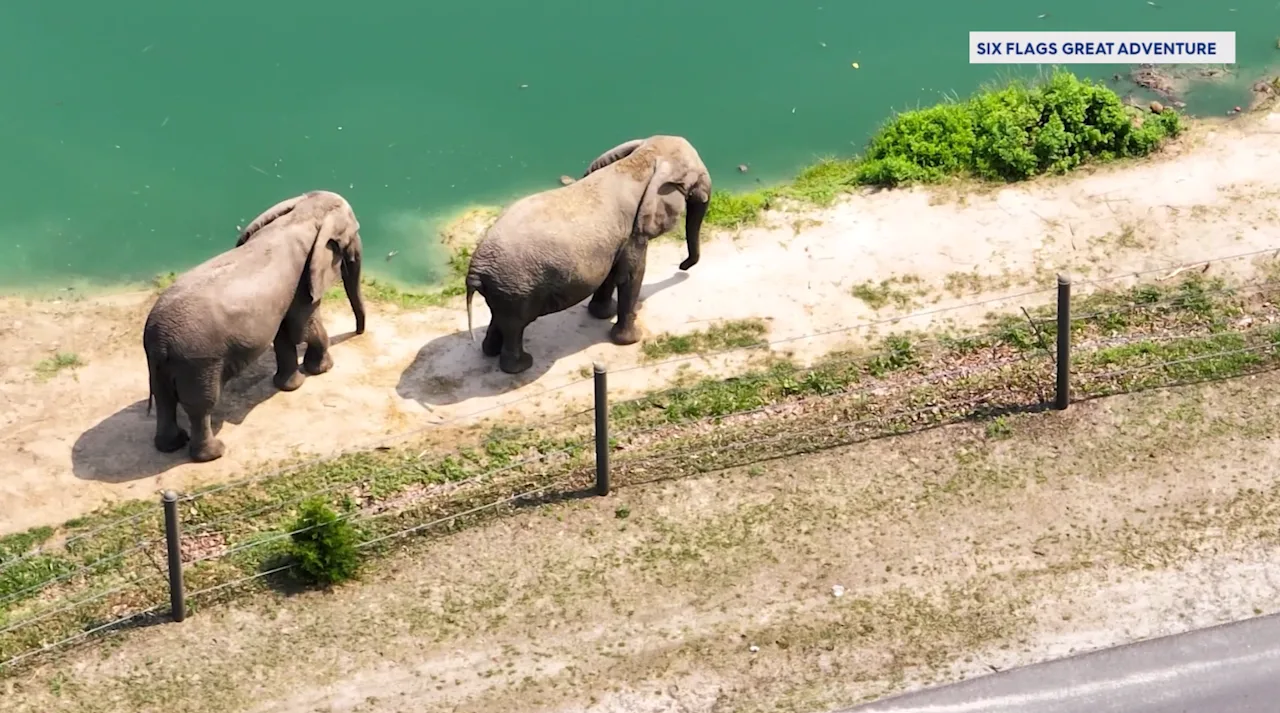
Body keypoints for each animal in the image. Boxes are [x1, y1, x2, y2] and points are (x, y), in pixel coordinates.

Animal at [142, 190, 366, 462]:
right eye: (355, 233)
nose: (358, 332)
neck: (303, 213)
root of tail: (159, 340)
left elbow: (284, 332)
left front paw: (291, 386)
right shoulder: (304, 280)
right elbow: (302, 326)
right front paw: (323, 369)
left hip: (161, 364)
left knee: (164, 398)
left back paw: (171, 445)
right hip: (199, 363)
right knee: (200, 407)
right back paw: (214, 453)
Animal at [464, 135, 712, 374]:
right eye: (698, 177)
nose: (682, 267)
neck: (643, 159)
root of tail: (476, 269)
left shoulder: (616, 238)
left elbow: (611, 272)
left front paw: (602, 314)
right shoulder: (634, 232)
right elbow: (631, 275)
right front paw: (631, 340)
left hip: (506, 289)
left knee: (500, 318)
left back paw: (491, 352)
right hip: (517, 287)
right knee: (515, 326)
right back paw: (521, 366)